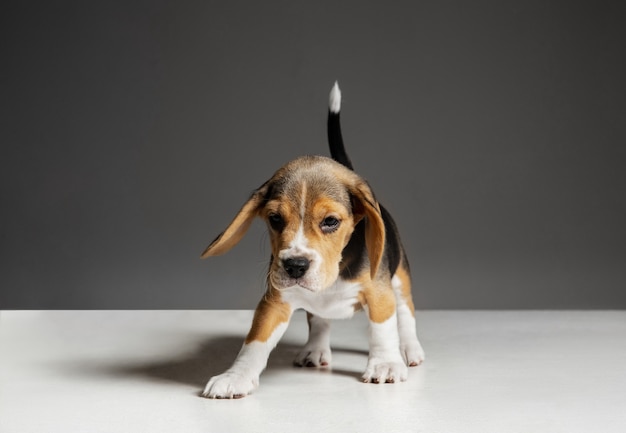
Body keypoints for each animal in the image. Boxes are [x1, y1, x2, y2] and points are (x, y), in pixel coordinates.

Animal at [200, 82, 424, 398]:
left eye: (330, 221)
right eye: (275, 219)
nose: (295, 265)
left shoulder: (379, 292)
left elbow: (382, 328)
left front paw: (384, 365)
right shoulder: (274, 302)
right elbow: (254, 341)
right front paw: (235, 376)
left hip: (400, 279)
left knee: (405, 313)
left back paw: (410, 349)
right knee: (319, 322)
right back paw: (314, 350)